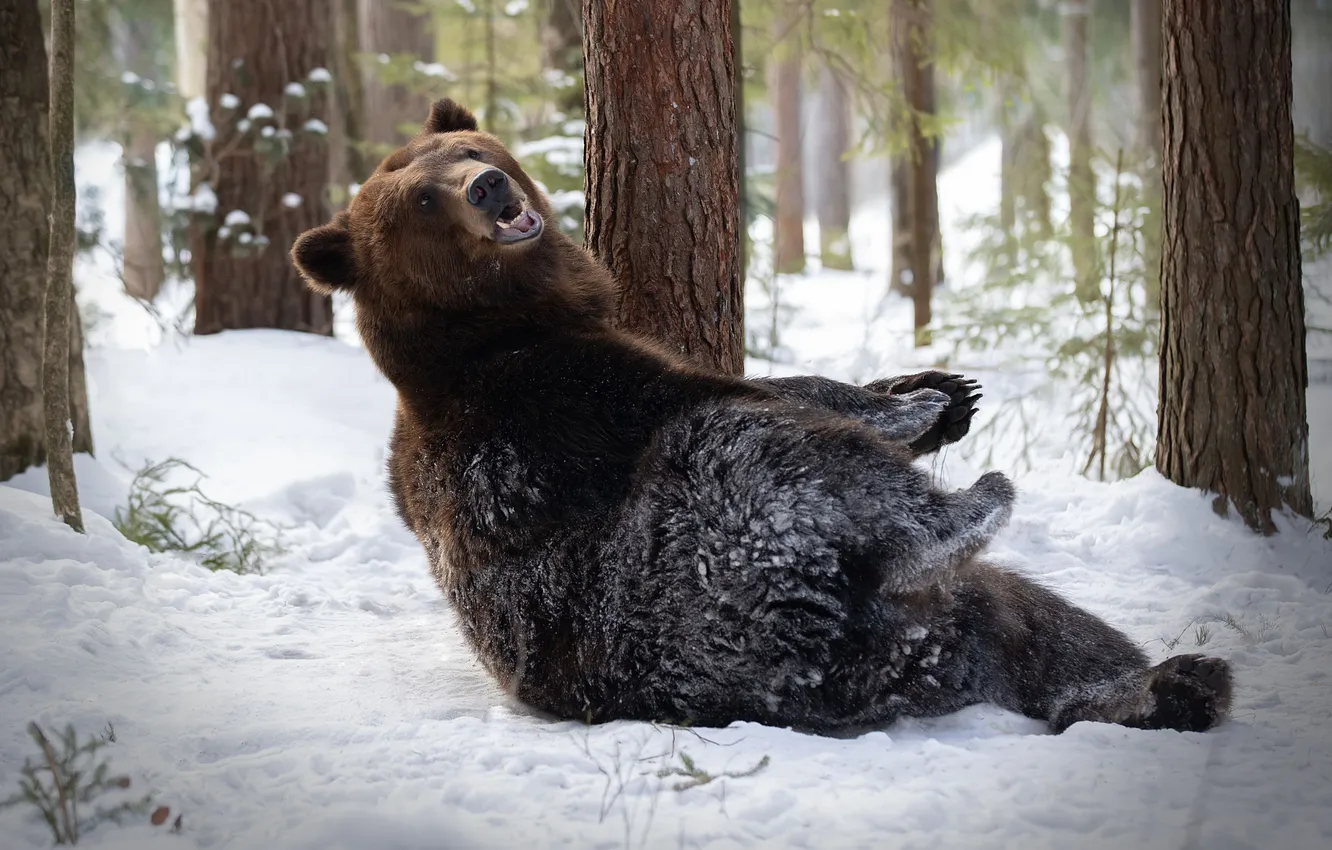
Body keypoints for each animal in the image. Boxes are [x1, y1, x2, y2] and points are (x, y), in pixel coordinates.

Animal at [291, 98, 1233, 735]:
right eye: (420, 197)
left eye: (464, 147)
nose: (486, 187)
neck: (498, 324)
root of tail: (843, 641)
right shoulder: (558, 396)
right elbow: (759, 392)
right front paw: (919, 403)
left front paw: (943, 387)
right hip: (702, 568)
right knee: (773, 458)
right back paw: (968, 507)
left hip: (959, 615)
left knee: (1056, 634)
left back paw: (1176, 683)